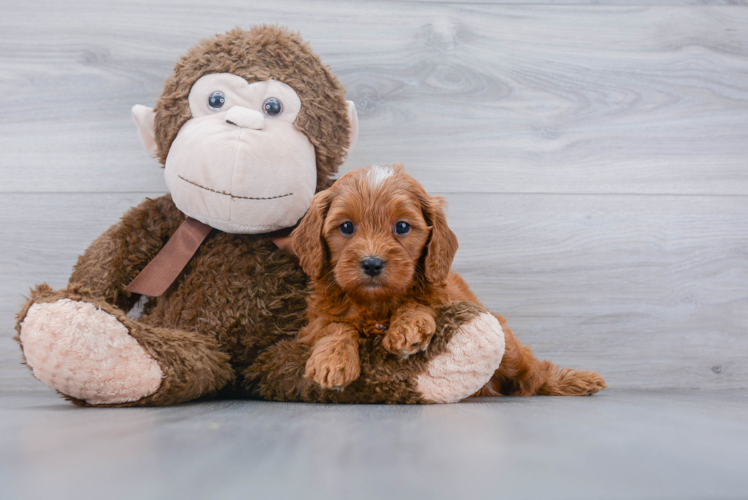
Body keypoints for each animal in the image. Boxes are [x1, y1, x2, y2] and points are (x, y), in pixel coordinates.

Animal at [292, 162, 608, 396]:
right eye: (346, 227)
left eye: (402, 227)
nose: (372, 263)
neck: (377, 303)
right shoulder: (316, 320)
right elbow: (335, 326)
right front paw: (332, 361)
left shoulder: (448, 296)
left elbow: (421, 303)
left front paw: (407, 327)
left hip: (509, 349)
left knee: (534, 374)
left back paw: (573, 380)